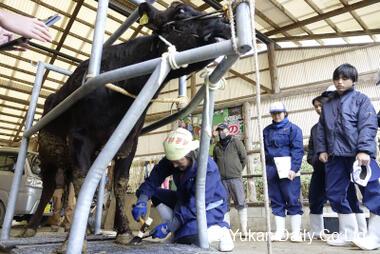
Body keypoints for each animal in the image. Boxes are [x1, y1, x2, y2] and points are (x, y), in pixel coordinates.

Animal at [20, 0, 230, 245]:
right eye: (179, 10)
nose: (225, 22)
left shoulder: (129, 141)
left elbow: (119, 182)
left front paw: (124, 231)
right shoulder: (80, 137)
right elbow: (83, 180)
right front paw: (73, 241)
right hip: (46, 151)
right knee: (51, 186)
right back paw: (32, 227)